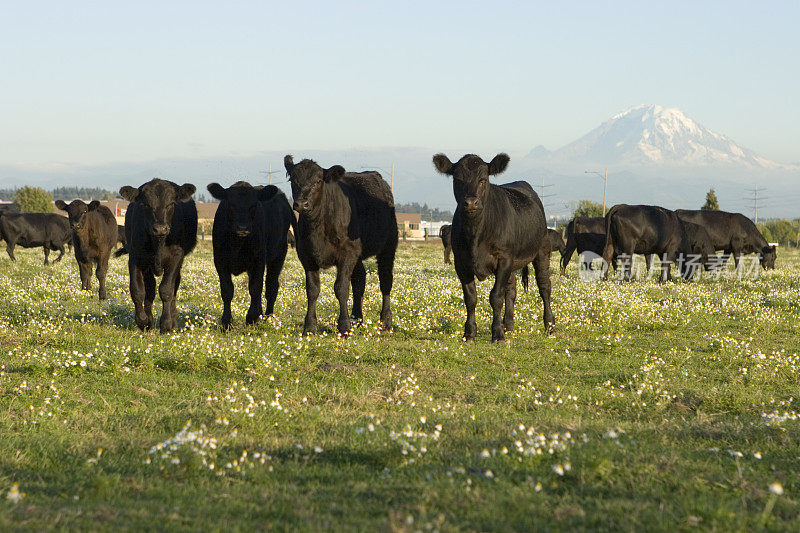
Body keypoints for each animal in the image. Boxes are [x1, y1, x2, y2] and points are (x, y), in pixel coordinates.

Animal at [120, 178, 198, 332]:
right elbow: (138, 290)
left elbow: (166, 290)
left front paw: (166, 324)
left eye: (171, 203)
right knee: (150, 288)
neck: (159, 244)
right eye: (145, 204)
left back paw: (173, 321)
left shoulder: (176, 257)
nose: (160, 229)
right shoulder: (135, 257)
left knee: (174, 287)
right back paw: (149, 318)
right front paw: (143, 321)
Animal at [206, 181, 294, 326]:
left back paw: (268, 316)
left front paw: (251, 318)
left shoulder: (258, 260)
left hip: (279, 254)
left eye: (254, 205)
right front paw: (226, 322)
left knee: (271, 285)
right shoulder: (219, 260)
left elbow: (255, 288)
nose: (243, 227)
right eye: (231, 204)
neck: (237, 243)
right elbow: (227, 290)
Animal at [284, 155, 396, 336]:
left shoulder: (346, 254)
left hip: (388, 245)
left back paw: (385, 321)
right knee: (360, 280)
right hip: (357, 255)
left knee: (385, 280)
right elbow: (312, 290)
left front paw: (344, 327)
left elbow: (341, 288)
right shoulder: (307, 256)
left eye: (318, 181)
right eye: (293, 180)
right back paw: (357, 318)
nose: (301, 204)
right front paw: (309, 327)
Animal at [432, 152, 556, 342]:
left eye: (483, 180)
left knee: (544, 287)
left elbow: (496, 296)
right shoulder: (460, 262)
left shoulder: (503, 259)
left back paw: (550, 325)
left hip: (542, 251)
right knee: (511, 290)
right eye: (457, 179)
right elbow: (470, 297)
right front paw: (469, 333)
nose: (471, 203)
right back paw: (509, 325)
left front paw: (497, 333)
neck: (475, 234)